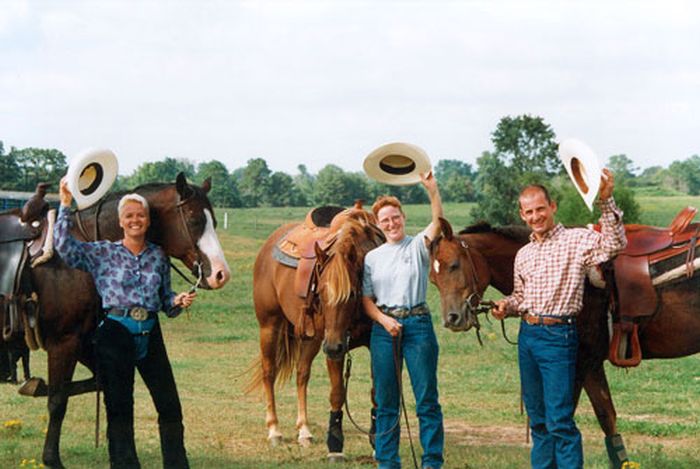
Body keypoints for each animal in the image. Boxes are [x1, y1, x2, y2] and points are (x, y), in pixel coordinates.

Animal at [15, 174, 230, 468]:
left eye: (215, 222)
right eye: (195, 220)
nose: (221, 274)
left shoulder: (85, 342)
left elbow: (99, 385)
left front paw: (34, 386)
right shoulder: (64, 342)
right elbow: (58, 400)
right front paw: (52, 459)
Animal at [250, 207, 382, 458]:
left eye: (352, 293)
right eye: (319, 291)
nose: (332, 346)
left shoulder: (375, 342)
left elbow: (377, 392)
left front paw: (377, 442)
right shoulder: (335, 346)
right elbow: (337, 393)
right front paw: (335, 446)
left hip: (311, 338)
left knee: (302, 374)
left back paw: (304, 431)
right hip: (270, 326)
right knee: (269, 372)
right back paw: (274, 431)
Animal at [426, 218, 700, 468]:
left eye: (454, 265)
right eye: (432, 279)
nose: (452, 319)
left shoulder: (576, 363)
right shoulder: (591, 364)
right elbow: (607, 418)